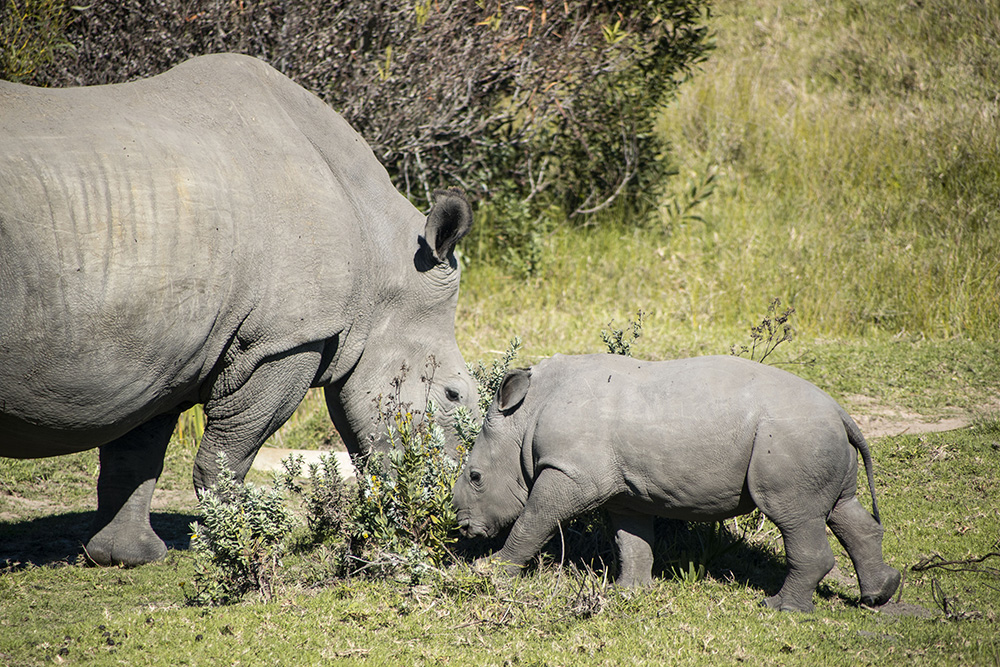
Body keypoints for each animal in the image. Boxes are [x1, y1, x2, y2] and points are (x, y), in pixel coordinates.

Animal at [0, 54, 479, 566]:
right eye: (453, 395)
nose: (450, 505)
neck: (383, 257)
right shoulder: (283, 340)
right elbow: (231, 451)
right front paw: (241, 544)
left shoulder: (157, 348)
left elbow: (137, 450)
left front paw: (128, 557)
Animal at [453, 354, 901, 612]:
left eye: (476, 477)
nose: (465, 529)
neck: (523, 417)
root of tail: (842, 413)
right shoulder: (621, 487)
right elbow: (630, 538)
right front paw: (629, 592)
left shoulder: (570, 472)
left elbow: (534, 519)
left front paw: (489, 571)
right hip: (817, 438)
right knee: (841, 509)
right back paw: (879, 595)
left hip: (796, 438)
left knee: (794, 515)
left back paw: (779, 608)